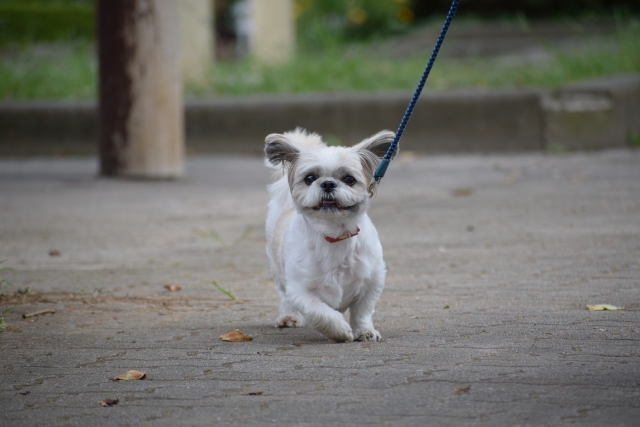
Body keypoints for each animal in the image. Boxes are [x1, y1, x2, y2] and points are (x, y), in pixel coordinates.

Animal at [264, 128, 396, 344]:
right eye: (309, 178)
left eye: (349, 179)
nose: (327, 184)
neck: (335, 234)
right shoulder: (300, 290)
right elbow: (319, 312)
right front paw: (340, 330)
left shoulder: (373, 280)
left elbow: (362, 311)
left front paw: (364, 331)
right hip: (278, 270)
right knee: (285, 297)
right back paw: (289, 316)